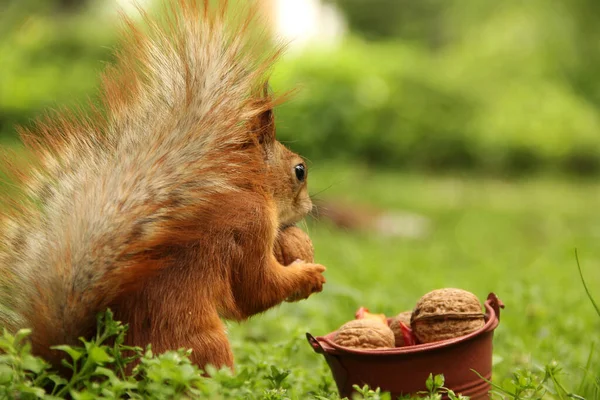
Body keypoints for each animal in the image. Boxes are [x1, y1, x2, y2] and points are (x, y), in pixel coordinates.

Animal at [0, 0, 328, 374]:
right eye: (300, 171)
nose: (309, 208)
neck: (247, 187)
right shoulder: (250, 224)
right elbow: (256, 289)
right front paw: (309, 275)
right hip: (202, 343)